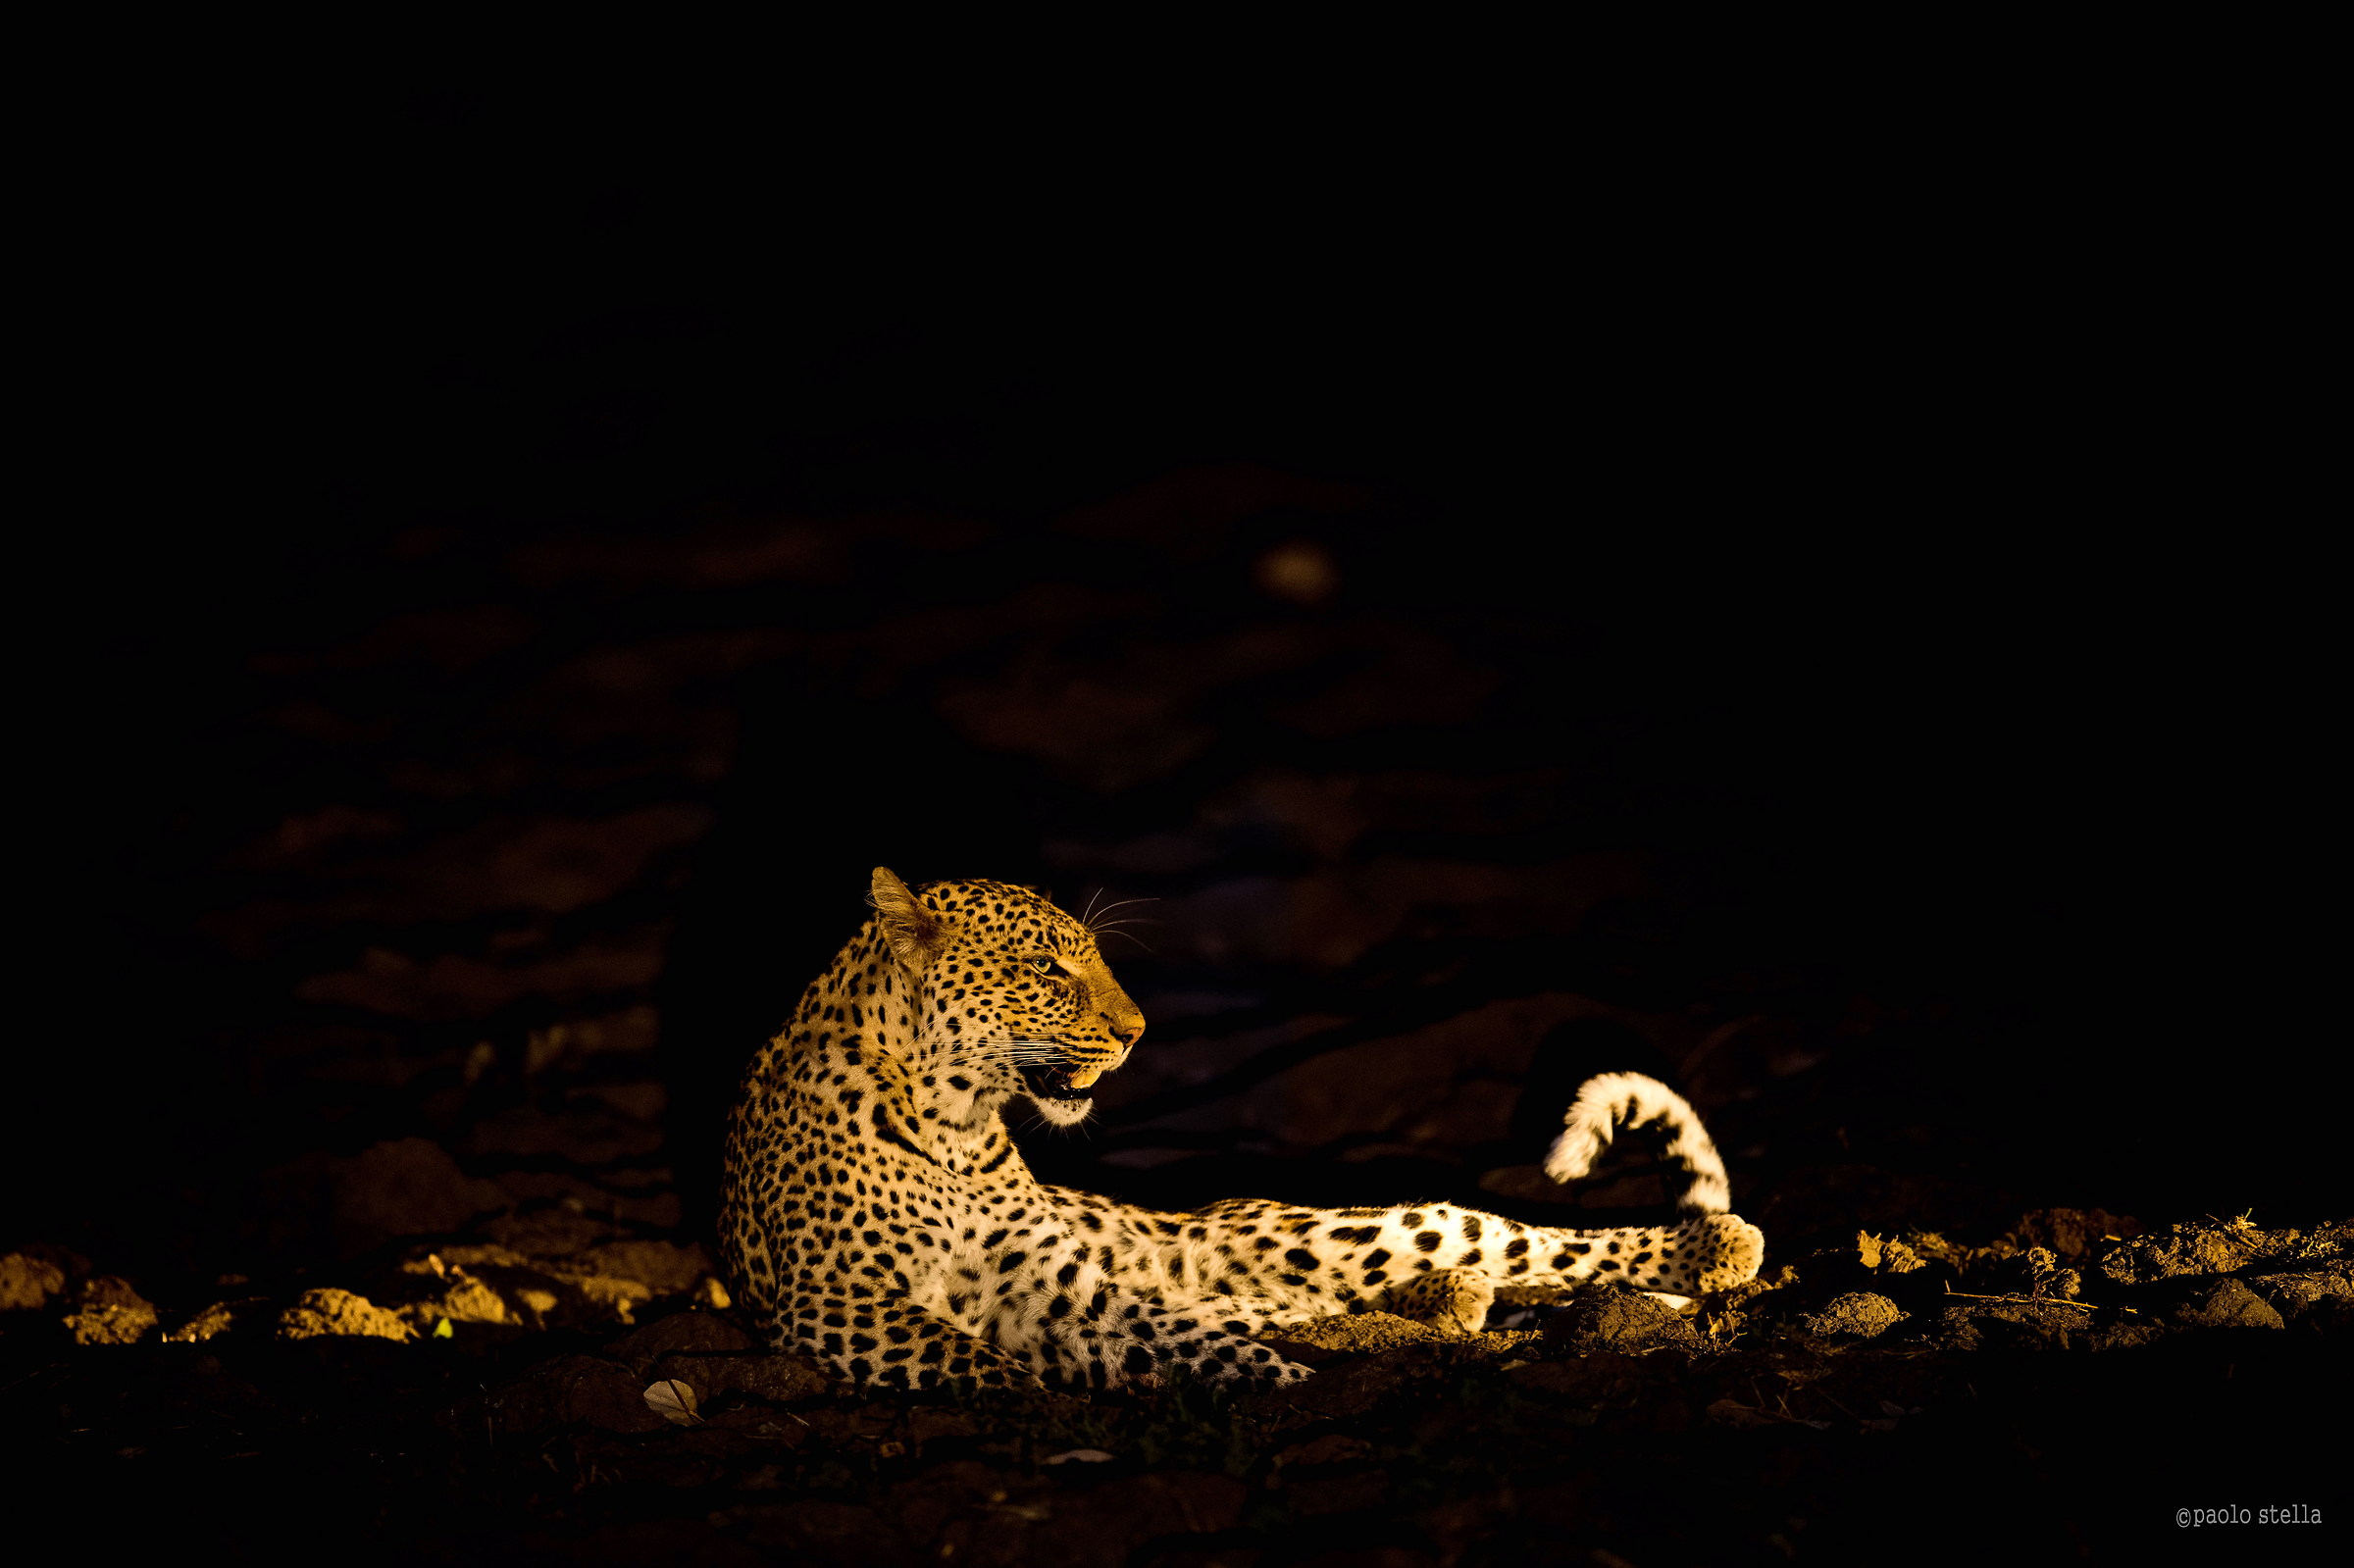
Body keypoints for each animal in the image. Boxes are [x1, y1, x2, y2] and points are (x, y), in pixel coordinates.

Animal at [717, 868, 1765, 1394]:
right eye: (1052, 970)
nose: (1138, 1032)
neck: (956, 1122)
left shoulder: (1046, 1286)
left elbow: (1181, 1341)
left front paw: (1283, 1392)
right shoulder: (840, 1299)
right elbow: (990, 1364)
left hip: (1325, 1229)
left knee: (1498, 1233)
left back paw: (1714, 1244)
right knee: (1325, 1302)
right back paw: (1443, 1306)